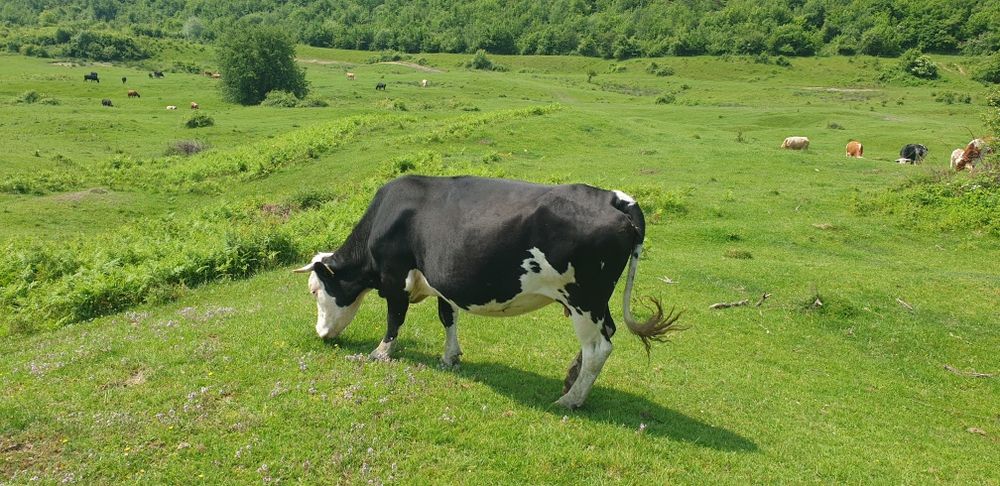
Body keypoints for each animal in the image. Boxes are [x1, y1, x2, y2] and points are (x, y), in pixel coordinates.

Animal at [293, 176, 681, 409]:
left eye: (314, 291)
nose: (320, 333)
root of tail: (615, 198)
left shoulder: (394, 277)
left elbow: (395, 317)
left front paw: (380, 353)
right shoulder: (441, 282)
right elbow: (447, 317)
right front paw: (450, 357)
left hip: (583, 298)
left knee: (599, 347)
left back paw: (571, 399)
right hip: (596, 301)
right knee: (604, 336)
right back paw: (571, 378)